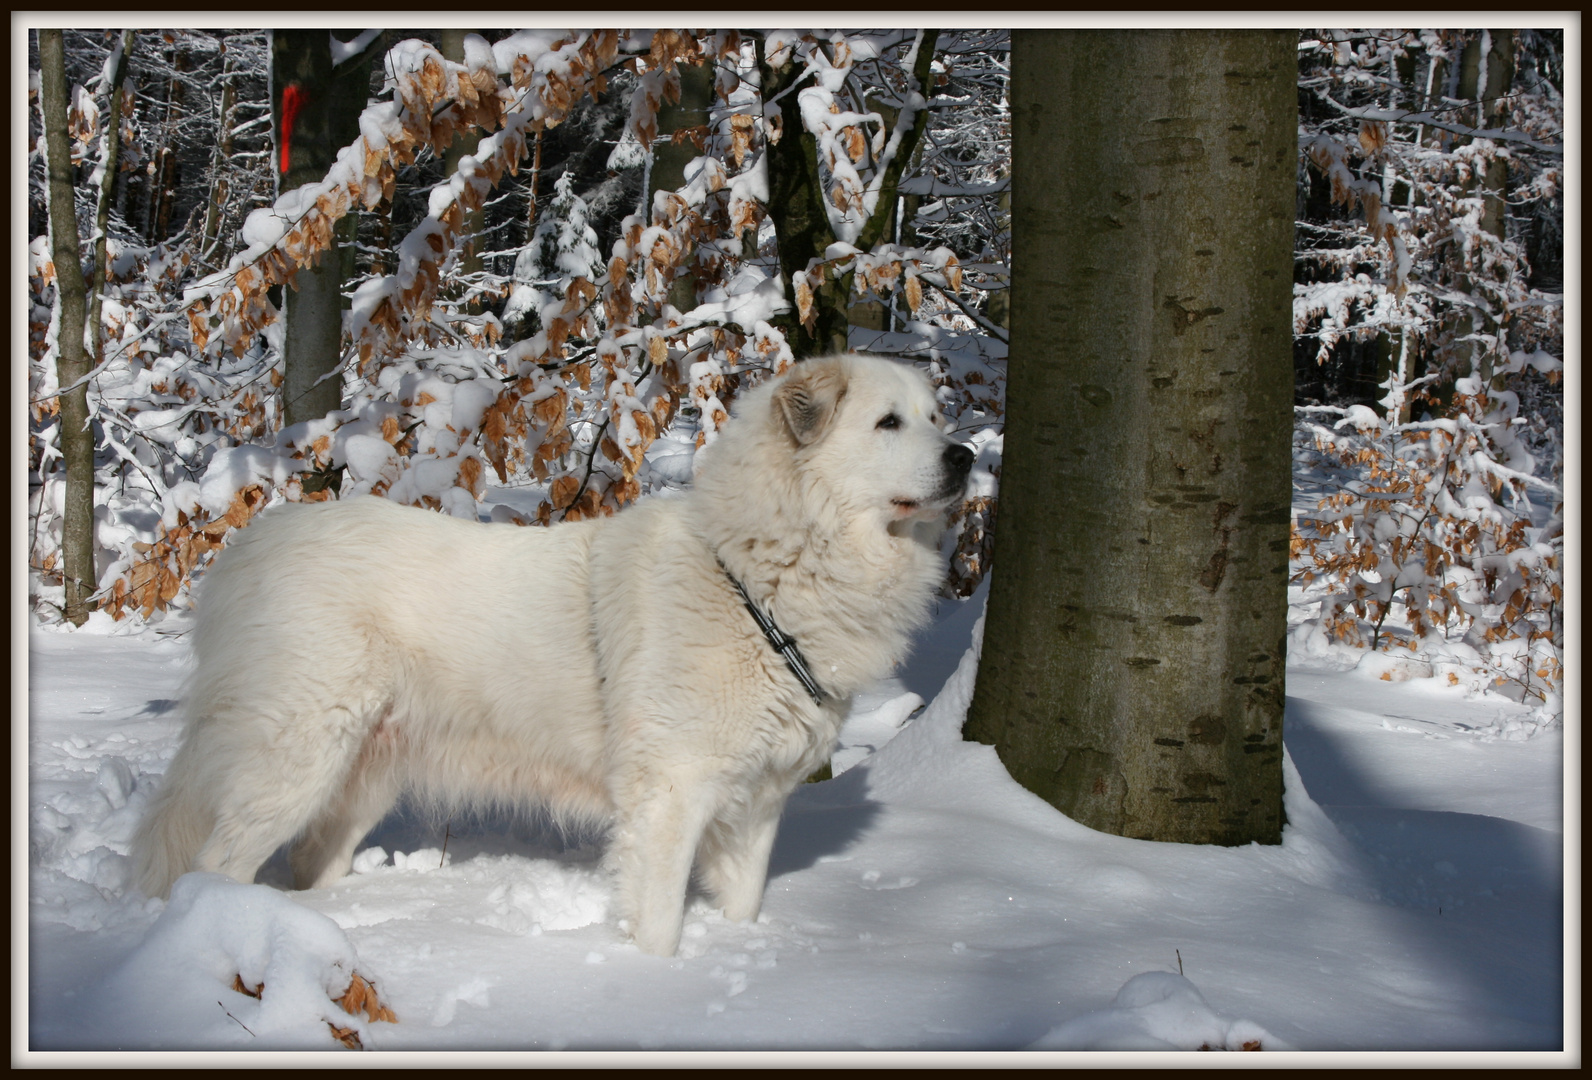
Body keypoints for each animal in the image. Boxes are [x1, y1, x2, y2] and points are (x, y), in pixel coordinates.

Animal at [133, 355, 967, 955]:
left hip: (363, 773)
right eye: (888, 423)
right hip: (295, 759)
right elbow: (658, 924)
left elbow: (745, 905)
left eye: (936, 416)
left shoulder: (757, 804)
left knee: (311, 864)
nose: (963, 456)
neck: (756, 569)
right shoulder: (672, 795)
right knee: (215, 866)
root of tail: (251, 549)